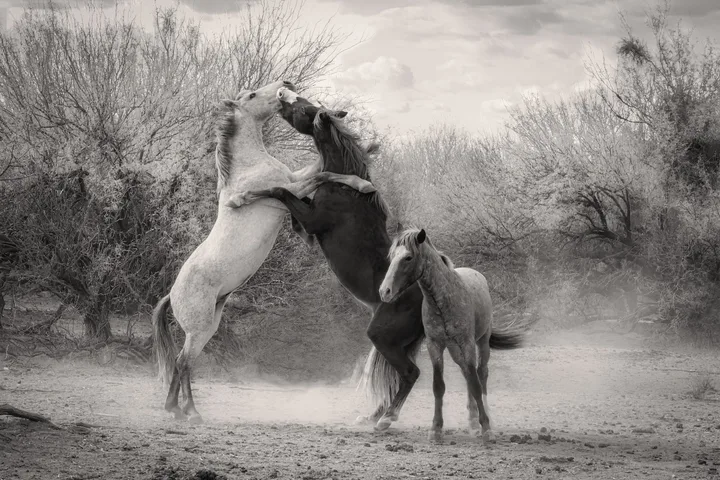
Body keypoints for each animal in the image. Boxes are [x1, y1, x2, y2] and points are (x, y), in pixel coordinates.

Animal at [151, 80, 375, 424]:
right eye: (253, 95)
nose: (286, 84)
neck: (248, 166)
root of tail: (171, 295)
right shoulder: (291, 188)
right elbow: (321, 173)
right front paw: (362, 182)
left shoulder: (293, 180)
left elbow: (318, 167)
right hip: (198, 329)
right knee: (182, 362)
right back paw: (190, 411)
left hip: (207, 328)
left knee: (181, 362)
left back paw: (177, 409)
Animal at [231, 88, 427, 431]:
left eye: (302, 108)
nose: (281, 92)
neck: (345, 188)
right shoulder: (307, 217)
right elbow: (290, 198)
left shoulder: (312, 219)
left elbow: (280, 190)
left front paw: (240, 198)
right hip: (392, 344)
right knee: (395, 376)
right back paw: (372, 416)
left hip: (382, 337)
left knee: (409, 373)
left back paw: (386, 419)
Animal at [379, 228, 523, 444]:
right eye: (391, 257)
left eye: (408, 257)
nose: (384, 291)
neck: (443, 301)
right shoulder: (435, 346)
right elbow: (439, 386)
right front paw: (436, 429)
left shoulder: (467, 344)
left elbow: (476, 384)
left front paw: (486, 428)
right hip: (455, 350)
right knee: (467, 373)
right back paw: (472, 420)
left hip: (481, 343)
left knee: (480, 374)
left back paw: (484, 418)